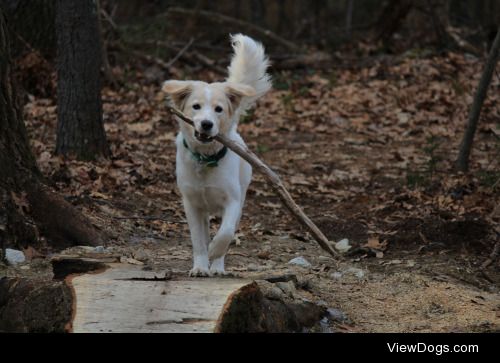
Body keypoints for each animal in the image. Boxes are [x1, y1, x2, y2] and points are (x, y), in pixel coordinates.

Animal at [162, 34, 272, 278]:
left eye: (219, 109)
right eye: (196, 106)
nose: (206, 124)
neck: (205, 160)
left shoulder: (233, 201)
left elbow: (226, 233)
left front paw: (214, 253)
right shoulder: (192, 204)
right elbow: (197, 240)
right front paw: (200, 266)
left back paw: (218, 267)